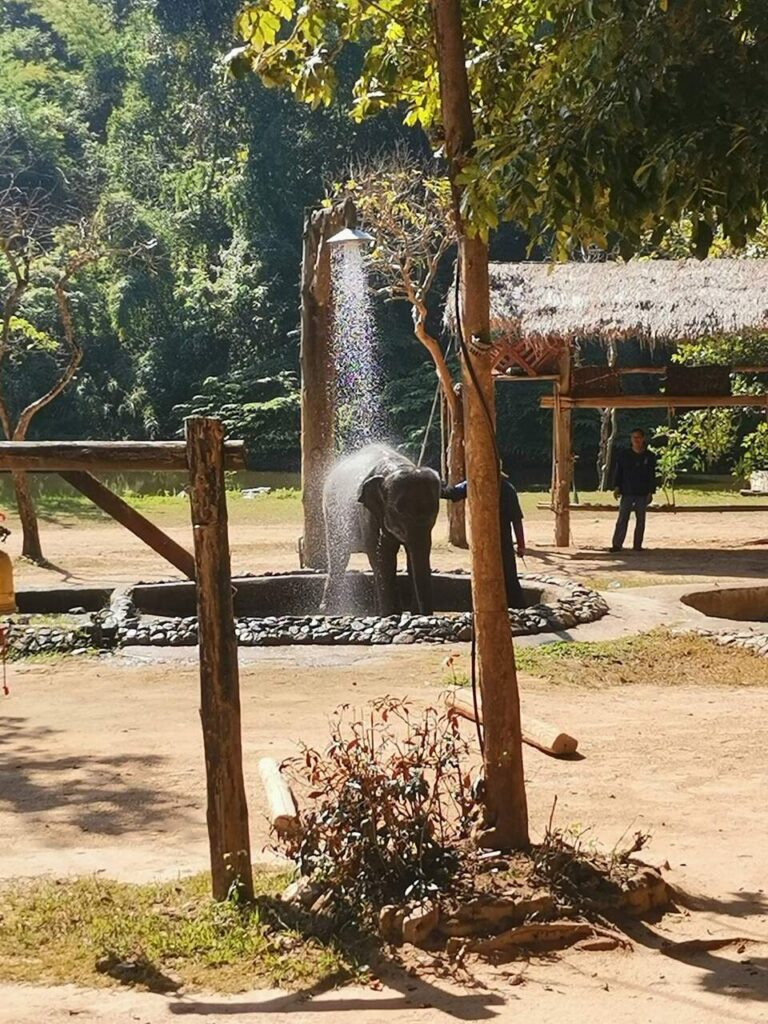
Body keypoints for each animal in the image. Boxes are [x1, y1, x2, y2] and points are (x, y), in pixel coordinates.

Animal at [321, 444, 441, 616]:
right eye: (399, 510)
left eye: (435, 510)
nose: (425, 614)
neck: (396, 467)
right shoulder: (367, 513)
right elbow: (382, 556)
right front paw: (390, 614)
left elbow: (412, 557)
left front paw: (411, 614)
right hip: (332, 516)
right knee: (339, 556)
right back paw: (328, 609)